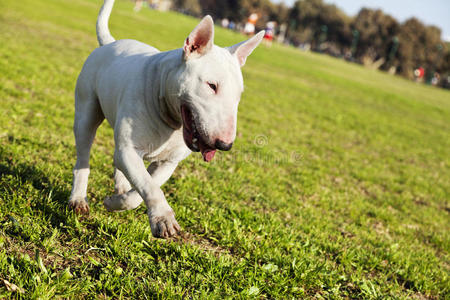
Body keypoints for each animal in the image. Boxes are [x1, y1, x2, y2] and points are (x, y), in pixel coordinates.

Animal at [69, 0, 266, 239]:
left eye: (239, 94)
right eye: (212, 85)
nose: (224, 145)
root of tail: (110, 43)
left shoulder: (168, 162)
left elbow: (144, 188)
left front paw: (118, 202)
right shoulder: (129, 150)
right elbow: (148, 186)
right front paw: (163, 219)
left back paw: (120, 187)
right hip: (86, 113)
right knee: (83, 156)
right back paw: (78, 198)